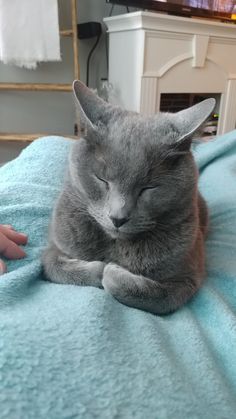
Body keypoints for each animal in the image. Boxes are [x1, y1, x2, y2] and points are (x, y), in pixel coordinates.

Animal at [41, 80, 215, 314]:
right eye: (102, 179)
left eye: (148, 187)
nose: (118, 218)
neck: (115, 245)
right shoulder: (53, 248)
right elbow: (53, 267)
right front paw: (99, 268)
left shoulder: (189, 276)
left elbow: (161, 297)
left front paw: (111, 271)